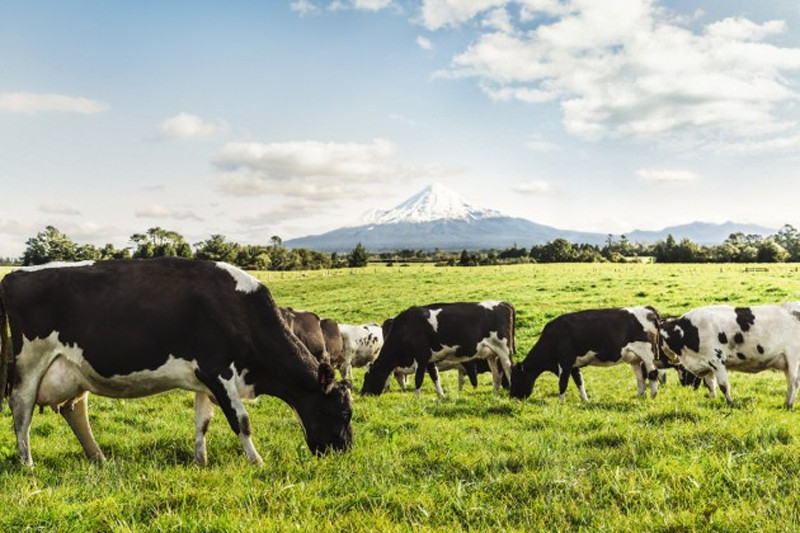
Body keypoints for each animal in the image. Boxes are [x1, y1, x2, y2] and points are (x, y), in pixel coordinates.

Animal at [0, 258, 354, 466]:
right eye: (343, 412)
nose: (344, 451)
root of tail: (15, 274)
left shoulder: (203, 378)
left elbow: (203, 421)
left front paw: (201, 461)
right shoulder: (217, 370)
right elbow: (241, 420)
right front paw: (257, 461)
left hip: (73, 370)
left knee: (74, 409)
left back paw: (99, 459)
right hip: (29, 363)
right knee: (21, 409)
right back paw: (28, 463)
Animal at [360, 300, 516, 394]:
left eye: (368, 377)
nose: (363, 394)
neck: (406, 328)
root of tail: (503, 303)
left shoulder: (421, 356)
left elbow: (419, 378)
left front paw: (416, 399)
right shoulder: (429, 359)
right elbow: (435, 377)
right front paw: (441, 396)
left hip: (504, 350)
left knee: (508, 369)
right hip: (492, 354)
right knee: (497, 375)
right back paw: (494, 394)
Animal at [512, 306, 664, 402]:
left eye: (515, 379)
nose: (512, 397)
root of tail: (648, 309)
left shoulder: (565, 362)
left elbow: (562, 383)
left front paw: (561, 403)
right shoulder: (573, 365)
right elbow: (579, 382)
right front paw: (585, 400)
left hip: (648, 355)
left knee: (653, 373)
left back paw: (653, 396)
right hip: (636, 359)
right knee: (640, 378)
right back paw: (640, 396)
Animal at [660, 304, 800, 408]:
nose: (685, 384)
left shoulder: (716, 360)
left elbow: (723, 385)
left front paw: (730, 403)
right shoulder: (707, 364)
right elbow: (710, 385)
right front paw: (712, 400)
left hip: (793, 357)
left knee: (794, 382)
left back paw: (789, 405)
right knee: (790, 382)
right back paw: (786, 403)